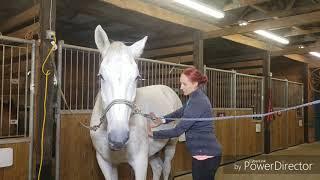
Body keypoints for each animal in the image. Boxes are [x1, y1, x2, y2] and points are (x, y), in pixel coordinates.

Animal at [89, 25, 182, 180]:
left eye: (137, 77)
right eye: (100, 76)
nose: (118, 138)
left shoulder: (140, 162)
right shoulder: (105, 163)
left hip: (171, 144)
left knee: (166, 167)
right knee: (157, 167)